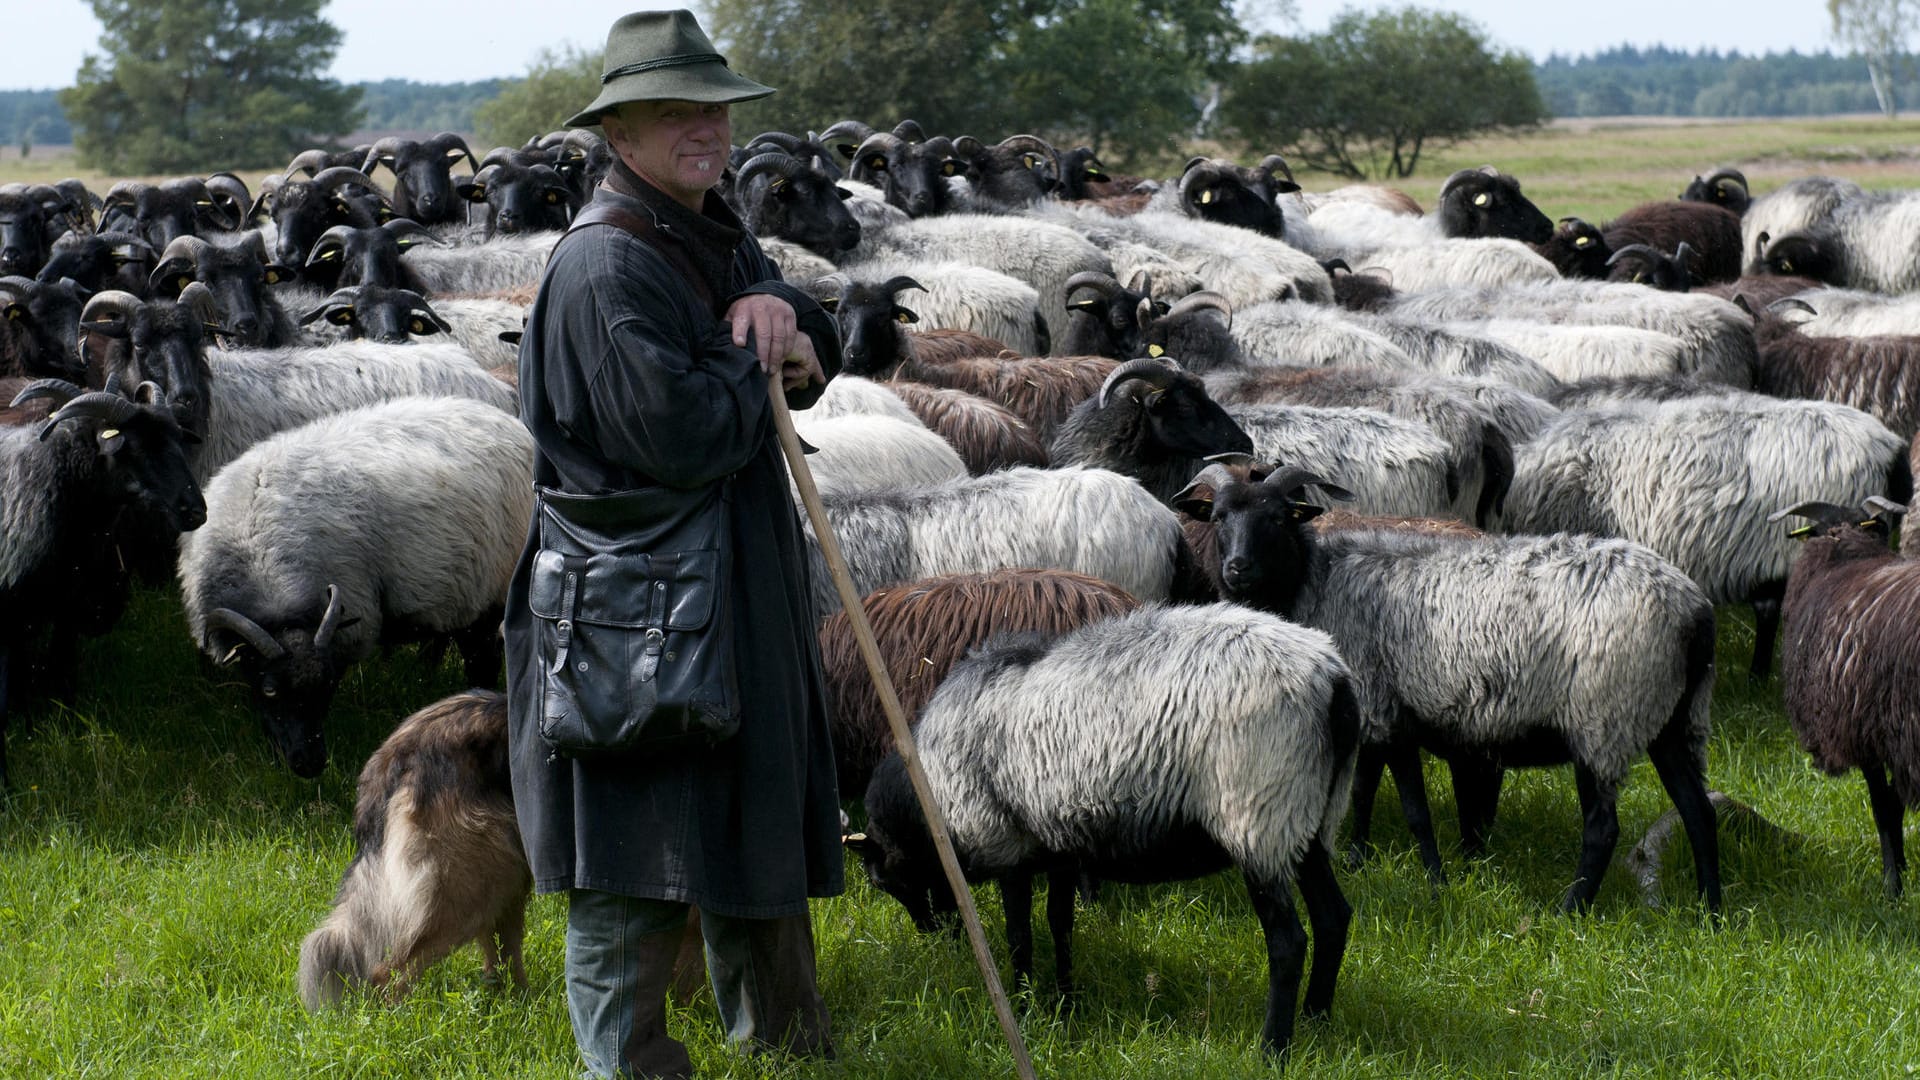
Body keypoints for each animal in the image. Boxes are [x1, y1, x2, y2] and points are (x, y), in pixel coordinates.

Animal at [176, 395, 537, 772]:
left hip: (487, 591)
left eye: (328, 686)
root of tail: (512, 425)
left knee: (483, 662)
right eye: (270, 689)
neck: (260, 559)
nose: (310, 764)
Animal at [848, 599, 1359, 1053]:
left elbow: (1019, 937)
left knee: (1288, 941)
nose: (935, 937)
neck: (928, 794)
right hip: (1305, 821)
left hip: (1258, 817)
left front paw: (1024, 1007)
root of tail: (1333, 681)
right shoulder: (1055, 849)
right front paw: (1065, 1002)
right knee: (1333, 917)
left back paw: (1274, 1047)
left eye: (884, 881)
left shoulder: (1006, 844)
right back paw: (1316, 1019)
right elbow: (1060, 924)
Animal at [1766, 495, 1920, 891]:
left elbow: (1883, 808)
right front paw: (1901, 870)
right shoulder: (1887, 739)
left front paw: (1892, 884)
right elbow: (1893, 804)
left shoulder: (1860, 730)